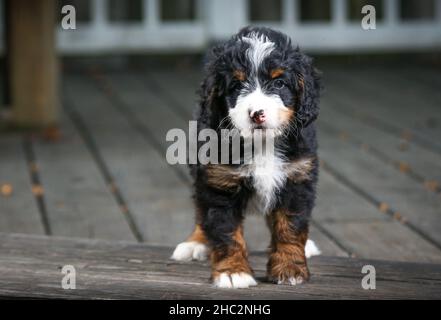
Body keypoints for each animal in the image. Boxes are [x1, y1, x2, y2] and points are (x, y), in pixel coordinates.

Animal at [171, 26, 320, 288]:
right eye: (236, 86)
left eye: (279, 83)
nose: (256, 114)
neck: (262, 144)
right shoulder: (219, 182)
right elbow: (226, 231)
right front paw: (233, 272)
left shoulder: (297, 178)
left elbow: (290, 226)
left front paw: (290, 267)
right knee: (200, 208)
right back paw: (195, 242)